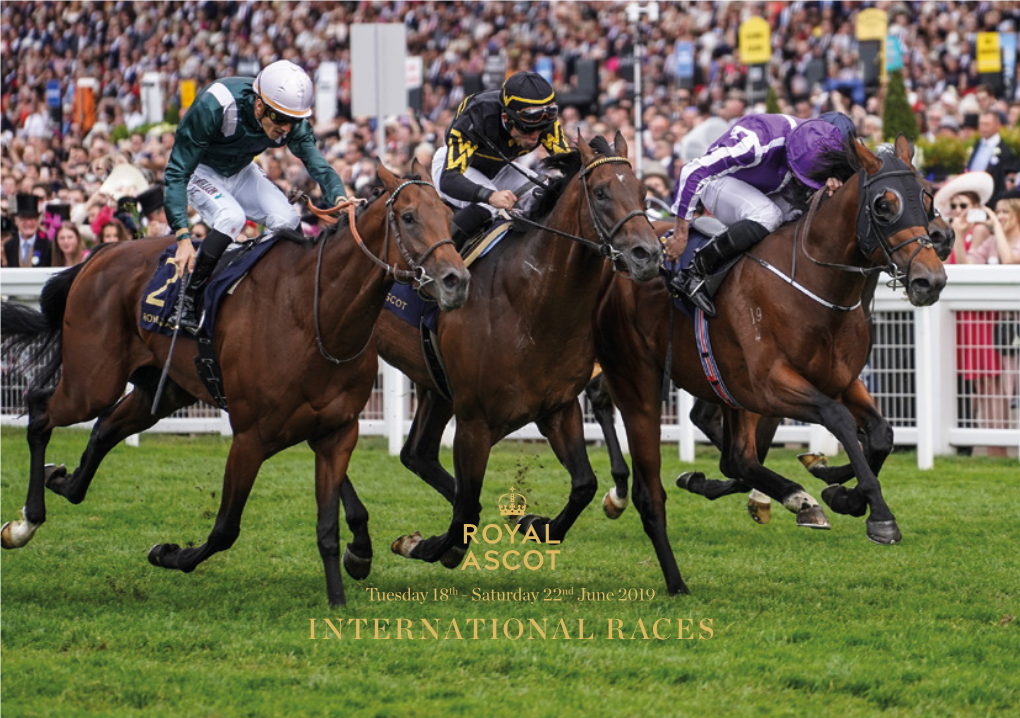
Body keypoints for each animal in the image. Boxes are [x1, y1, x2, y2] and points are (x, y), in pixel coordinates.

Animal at [0, 163, 469, 603]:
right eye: (408, 217)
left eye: (450, 216)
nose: (457, 281)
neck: (315, 313)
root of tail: (99, 254)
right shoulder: (250, 437)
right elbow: (225, 527)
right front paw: (169, 554)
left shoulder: (337, 432)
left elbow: (328, 527)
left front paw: (339, 598)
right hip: (92, 381)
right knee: (41, 411)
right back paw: (26, 522)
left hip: (160, 389)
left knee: (102, 431)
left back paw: (60, 480)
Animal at [354, 133, 660, 567]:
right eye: (600, 192)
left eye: (642, 192)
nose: (648, 255)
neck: (530, 303)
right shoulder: (474, 422)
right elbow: (468, 508)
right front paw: (425, 544)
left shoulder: (558, 408)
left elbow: (583, 483)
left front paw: (534, 523)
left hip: (436, 384)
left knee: (418, 454)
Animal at [595, 134, 942, 595]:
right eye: (884, 205)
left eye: (928, 197)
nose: (930, 279)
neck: (815, 284)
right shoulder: (769, 384)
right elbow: (839, 420)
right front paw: (877, 513)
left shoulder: (840, 379)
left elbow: (882, 434)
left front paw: (839, 488)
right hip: (641, 370)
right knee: (609, 403)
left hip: (723, 384)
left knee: (738, 457)